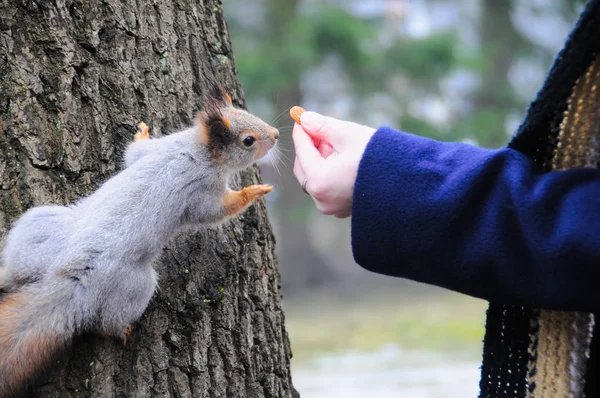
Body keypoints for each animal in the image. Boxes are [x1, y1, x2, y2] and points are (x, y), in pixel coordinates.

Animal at [0, 81, 278, 394]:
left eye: (246, 112)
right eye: (248, 141)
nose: (276, 134)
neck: (195, 149)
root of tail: (74, 276)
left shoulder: (156, 149)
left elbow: (135, 152)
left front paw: (141, 131)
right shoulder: (202, 189)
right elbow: (214, 211)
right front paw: (252, 192)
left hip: (38, 228)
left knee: (16, 273)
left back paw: (3, 273)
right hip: (135, 285)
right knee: (107, 322)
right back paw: (122, 330)